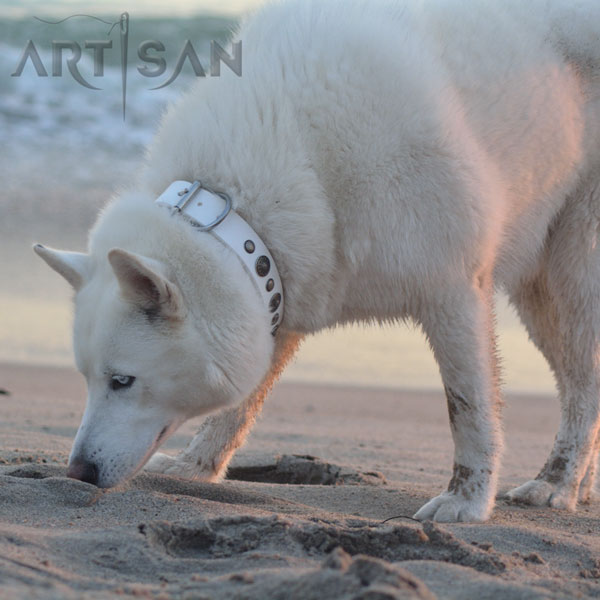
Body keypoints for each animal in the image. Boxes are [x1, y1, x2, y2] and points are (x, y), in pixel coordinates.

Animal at [34, 0, 600, 524]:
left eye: (122, 381)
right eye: (88, 379)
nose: (76, 472)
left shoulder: (454, 291)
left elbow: (468, 407)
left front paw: (466, 501)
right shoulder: (276, 293)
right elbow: (237, 410)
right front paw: (195, 468)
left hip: (571, 277)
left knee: (583, 388)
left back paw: (556, 484)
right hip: (541, 291)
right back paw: (579, 490)